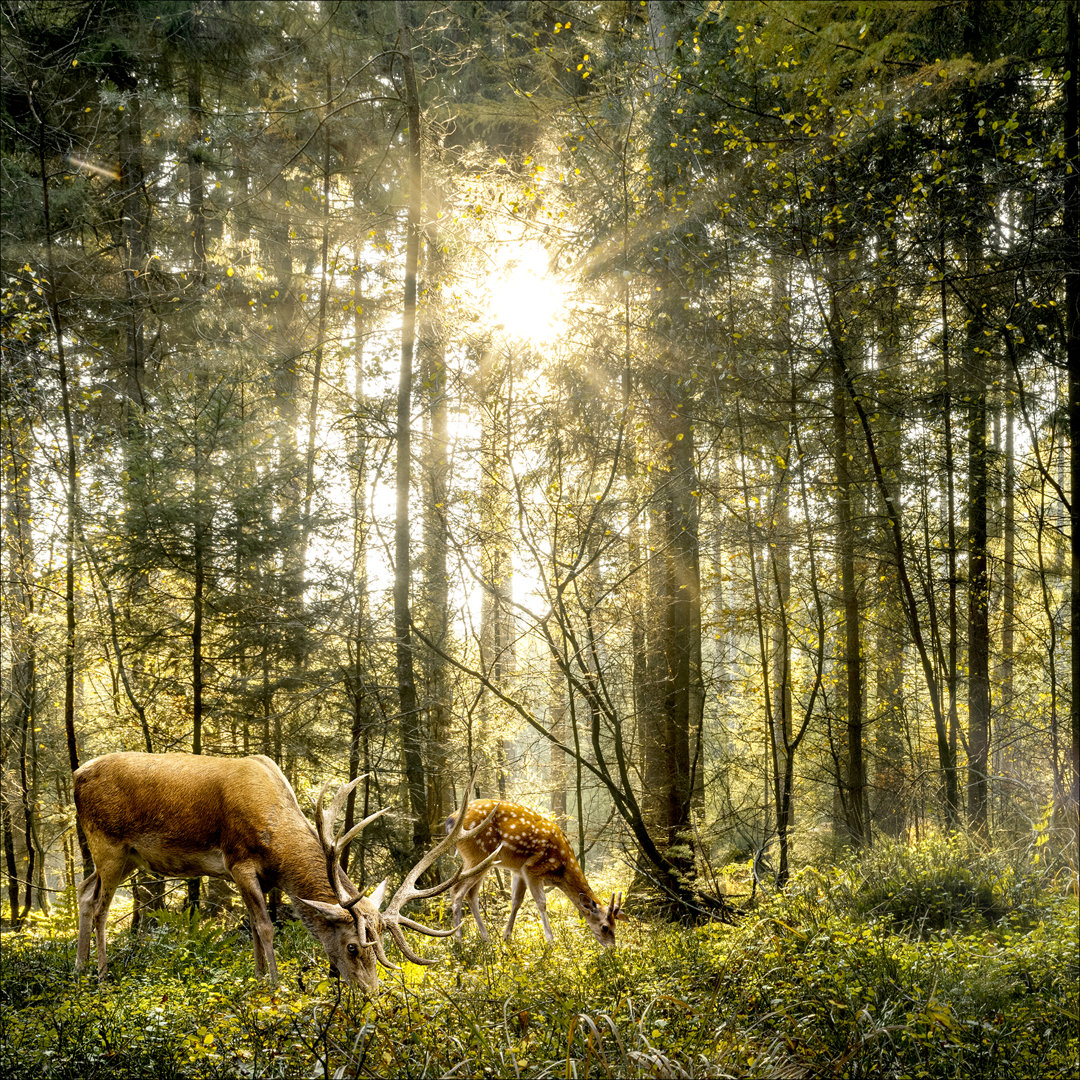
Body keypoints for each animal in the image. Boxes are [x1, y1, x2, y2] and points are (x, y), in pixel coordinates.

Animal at [73, 756, 498, 989]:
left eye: (381, 949)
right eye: (353, 946)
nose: (371, 993)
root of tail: (77, 775)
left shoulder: (253, 876)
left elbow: (251, 927)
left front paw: (258, 978)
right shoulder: (239, 861)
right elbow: (264, 927)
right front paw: (275, 986)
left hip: (123, 858)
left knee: (83, 891)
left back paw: (78, 968)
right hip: (107, 844)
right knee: (101, 907)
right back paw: (102, 974)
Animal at [442, 799, 626, 950]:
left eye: (615, 925)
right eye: (604, 927)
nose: (612, 948)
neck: (561, 870)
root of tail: (450, 821)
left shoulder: (519, 871)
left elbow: (516, 902)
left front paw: (506, 938)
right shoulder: (532, 868)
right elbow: (542, 903)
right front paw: (551, 941)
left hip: (481, 860)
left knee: (471, 894)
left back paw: (486, 938)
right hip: (478, 855)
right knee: (456, 890)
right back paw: (458, 941)